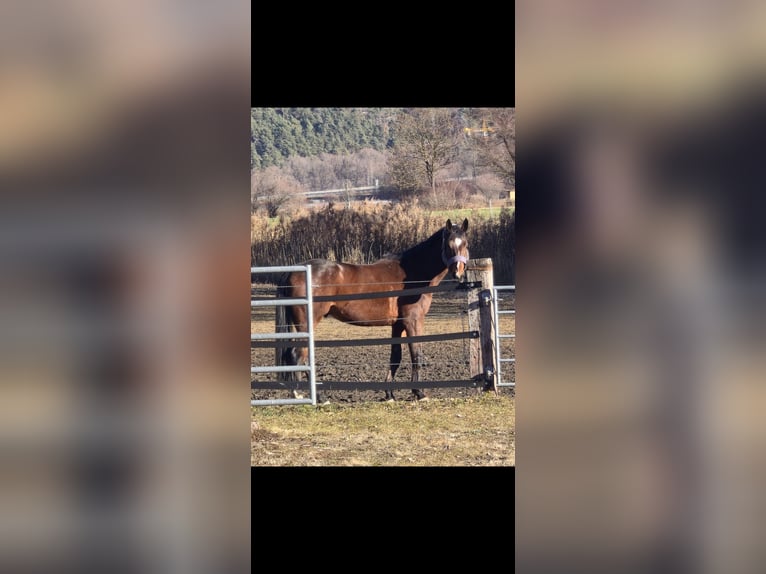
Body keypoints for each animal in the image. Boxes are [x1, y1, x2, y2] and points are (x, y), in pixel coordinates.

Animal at [274, 218, 470, 401]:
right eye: (448, 244)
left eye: (465, 244)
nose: (458, 273)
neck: (414, 273)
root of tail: (294, 271)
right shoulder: (413, 320)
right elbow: (416, 354)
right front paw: (419, 392)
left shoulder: (398, 324)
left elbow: (395, 357)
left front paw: (389, 393)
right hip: (308, 323)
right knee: (298, 354)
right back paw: (308, 396)